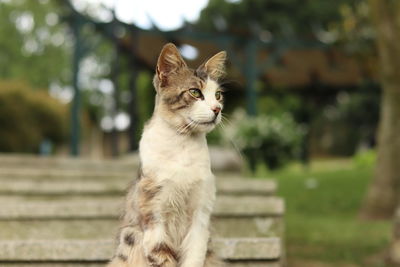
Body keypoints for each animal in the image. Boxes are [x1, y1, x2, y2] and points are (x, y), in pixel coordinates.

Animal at [106, 43, 227, 266]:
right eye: (195, 92)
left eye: (218, 95)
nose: (217, 109)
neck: (182, 147)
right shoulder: (154, 216)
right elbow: (162, 257)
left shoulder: (200, 217)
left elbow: (194, 258)